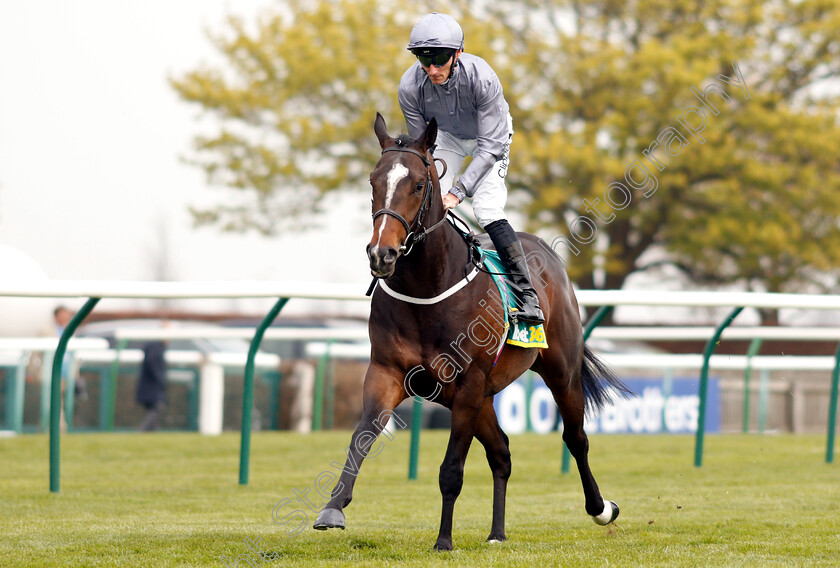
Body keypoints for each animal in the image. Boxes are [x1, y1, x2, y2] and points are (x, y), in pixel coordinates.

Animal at [312, 112, 628, 552]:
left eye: (419, 184)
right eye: (373, 182)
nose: (382, 254)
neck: (427, 289)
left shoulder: (468, 382)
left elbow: (451, 469)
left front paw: (443, 540)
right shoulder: (387, 372)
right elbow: (362, 436)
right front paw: (333, 508)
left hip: (559, 373)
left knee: (575, 439)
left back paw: (600, 508)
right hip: (485, 397)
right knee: (502, 452)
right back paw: (497, 532)